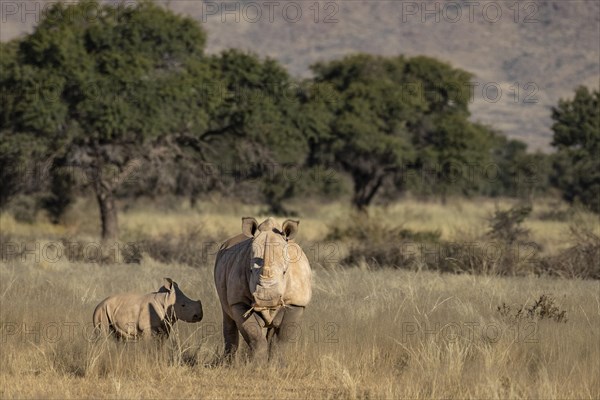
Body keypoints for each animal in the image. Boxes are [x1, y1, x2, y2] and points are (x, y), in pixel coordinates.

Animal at [213, 217, 312, 360]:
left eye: (284, 272)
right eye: (250, 271)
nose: (266, 300)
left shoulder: (296, 302)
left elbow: (282, 339)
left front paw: (276, 363)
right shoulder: (239, 301)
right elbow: (254, 335)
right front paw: (258, 363)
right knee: (227, 316)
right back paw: (228, 361)